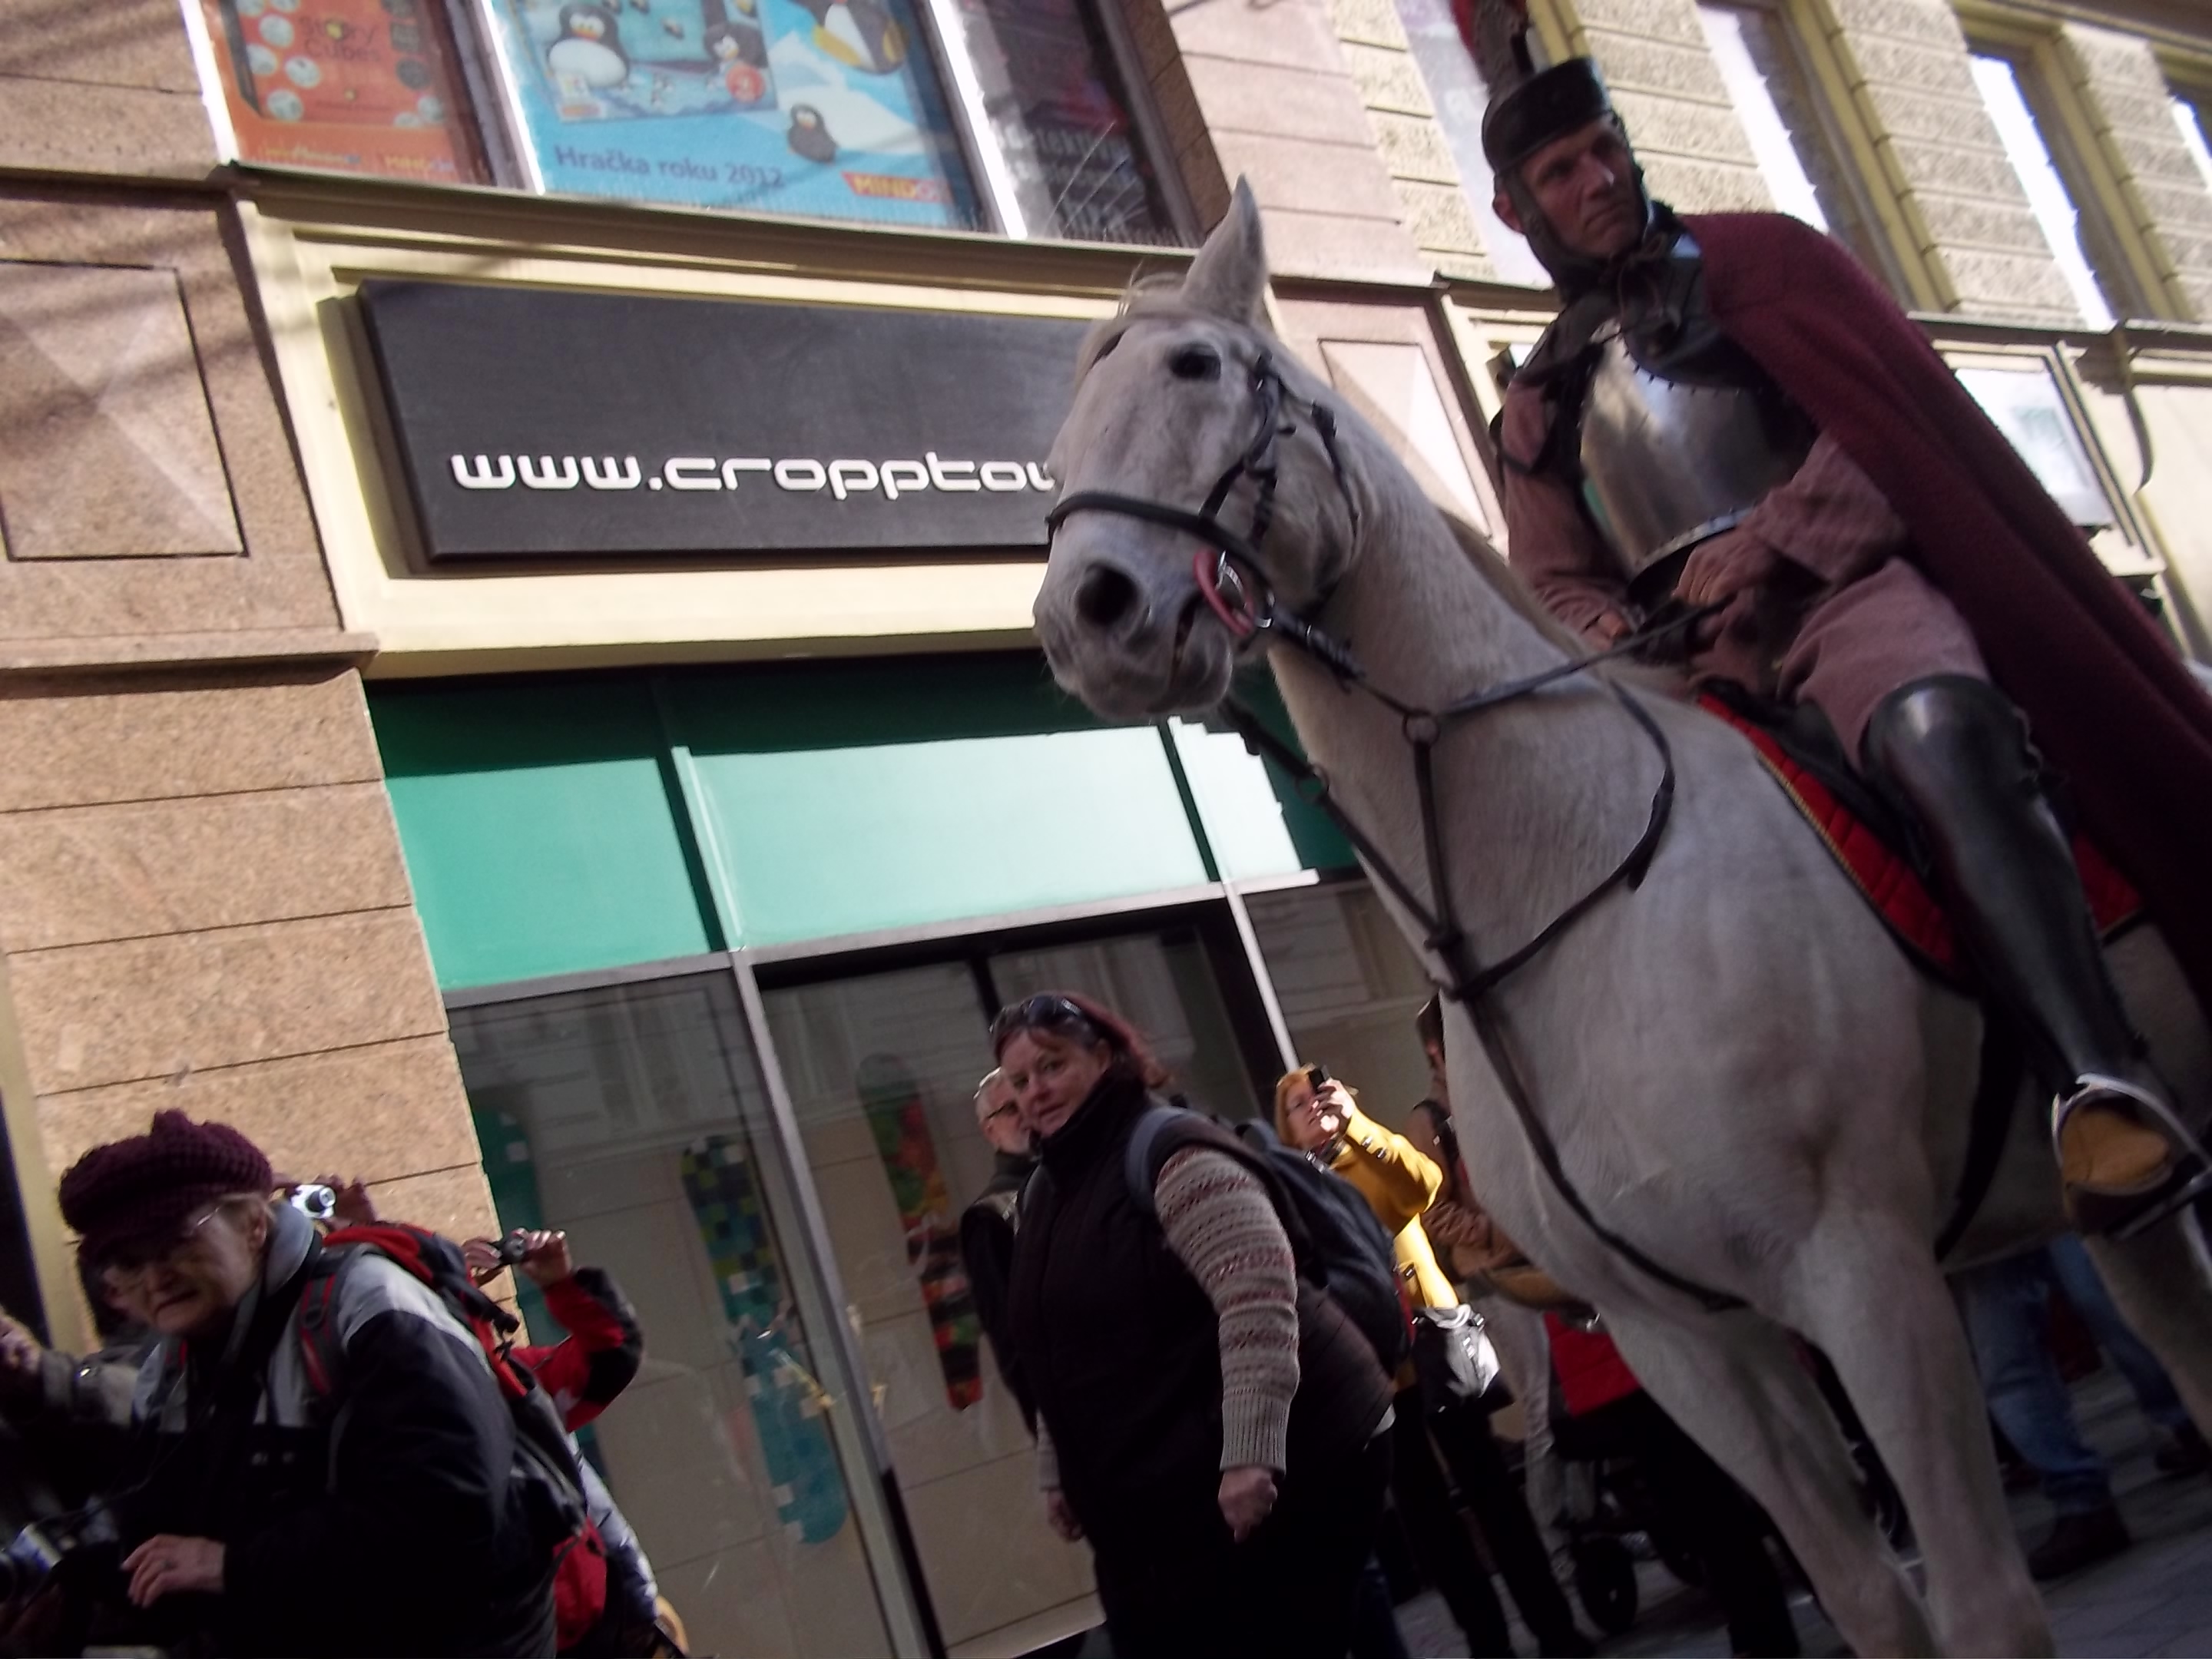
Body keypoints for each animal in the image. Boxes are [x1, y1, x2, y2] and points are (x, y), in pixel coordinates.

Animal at [1031, 181, 2212, 1655]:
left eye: (1196, 366)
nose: (1088, 618)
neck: (1563, 888)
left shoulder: (1868, 1279)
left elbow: (1984, 1608)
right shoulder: (1693, 1342)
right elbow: (1870, 1600)